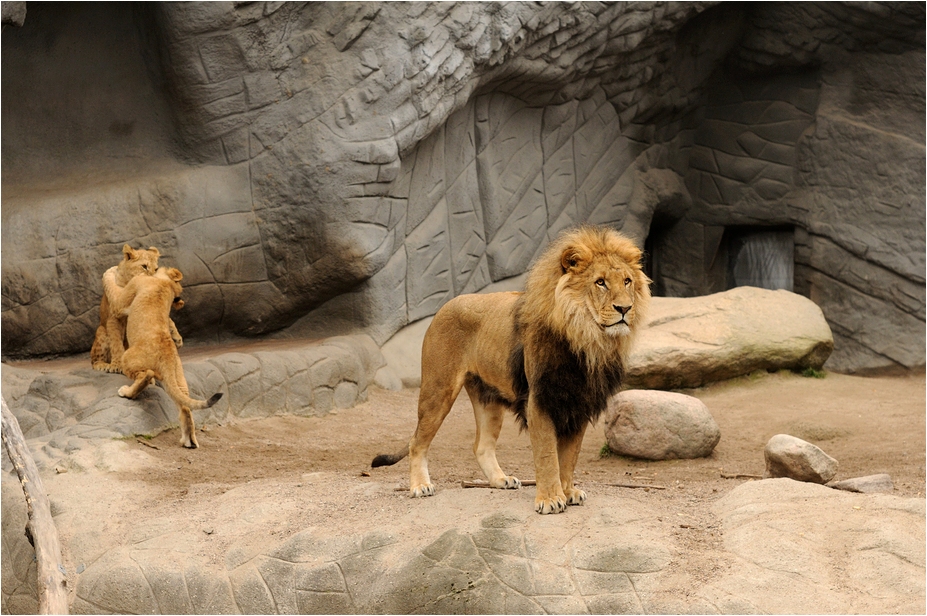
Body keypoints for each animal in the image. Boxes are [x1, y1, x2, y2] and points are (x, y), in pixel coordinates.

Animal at [103, 266, 222, 449]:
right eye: (176, 297)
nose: (179, 301)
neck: (165, 284)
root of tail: (167, 354)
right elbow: (170, 321)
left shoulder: (127, 295)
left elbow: (113, 291)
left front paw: (110, 272)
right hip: (177, 378)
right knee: (185, 406)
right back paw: (189, 441)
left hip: (128, 357)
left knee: (146, 375)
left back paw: (127, 392)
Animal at [372, 225, 651, 514]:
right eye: (600, 282)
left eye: (627, 281)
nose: (624, 308)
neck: (586, 339)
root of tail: (445, 305)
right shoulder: (540, 399)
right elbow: (548, 454)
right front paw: (550, 499)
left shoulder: (579, 403)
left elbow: (570, 456)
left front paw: (568, 491)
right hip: (439, 389)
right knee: (417, 442)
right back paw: (420, 486)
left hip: (488, 398)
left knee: (481, 445)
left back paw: (500, 480)